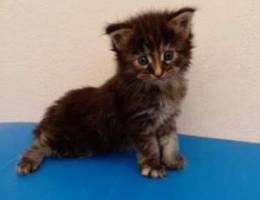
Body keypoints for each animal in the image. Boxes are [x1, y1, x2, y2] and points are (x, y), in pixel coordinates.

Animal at [16, 7, 195, 178]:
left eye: (168, 55)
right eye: (143, 60)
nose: (159, 73)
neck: (160, 88)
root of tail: (53, 112)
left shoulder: (168, 117)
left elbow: (170, 139)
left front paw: (172, 159)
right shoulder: (138, 121)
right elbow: (150, 145)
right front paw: (153, 165)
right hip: (74, 139)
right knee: (41, 142)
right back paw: (27, 161)